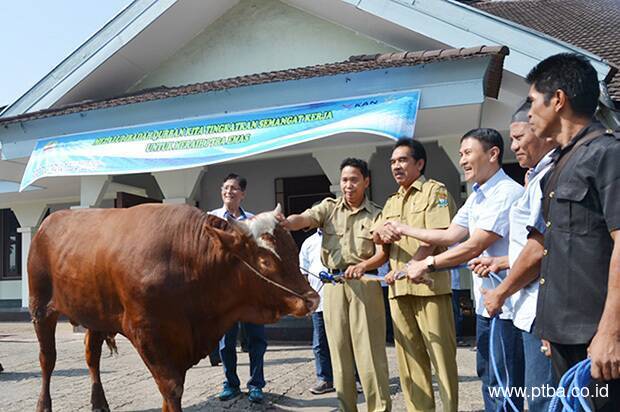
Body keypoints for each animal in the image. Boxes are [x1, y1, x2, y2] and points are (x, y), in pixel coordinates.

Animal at [27, 204, 320, 412]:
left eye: (292, 250)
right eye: (264, 260)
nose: (312, 299)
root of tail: (48, 223)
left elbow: (171, 391)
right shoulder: (148, 336)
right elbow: (172, 388)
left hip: (96, 315)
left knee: (92, 357)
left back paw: (99, 403)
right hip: (40, 308)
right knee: (47, 359)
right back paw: (43, 405)